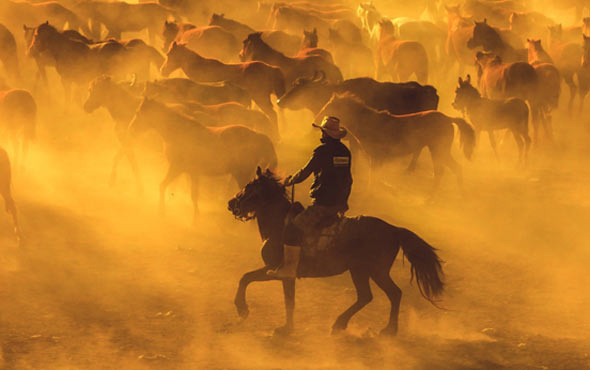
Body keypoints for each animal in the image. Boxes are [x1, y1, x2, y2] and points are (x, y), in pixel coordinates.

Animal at [128, 97, 280, 217]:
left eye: (137, 113)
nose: (131, 129)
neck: (179, 132)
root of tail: (257, 136)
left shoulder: (177, 168)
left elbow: (168, 187)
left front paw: (164, 212)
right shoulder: (190, 172)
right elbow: (189, 193)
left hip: (242, 175)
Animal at [229, 168, 446, 336]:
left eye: (248, 187)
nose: (231, 203)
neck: (279, 224)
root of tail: (393, 229)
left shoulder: (279, 271)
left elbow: (267, 289)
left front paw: (249, 312)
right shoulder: (278, 272)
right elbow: (250, 280)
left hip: (376, 272)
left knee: (393, 294)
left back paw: (387, 330)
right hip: (360, 271)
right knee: (367, 296)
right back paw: (341, 324)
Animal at [314, 93, 476, 194]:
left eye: (330, 106)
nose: (316, 121)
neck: (369, 123)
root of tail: (448, 119)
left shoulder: (376, 157)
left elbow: (373, 179)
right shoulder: (376, 158)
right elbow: (375, 178)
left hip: (438, 150)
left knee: (440, 172)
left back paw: (429, 200)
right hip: (441, 151)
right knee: (456, 168)